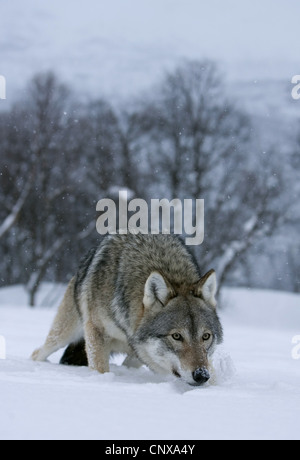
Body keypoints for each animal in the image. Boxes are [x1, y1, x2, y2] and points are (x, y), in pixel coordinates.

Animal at [32, 232, 223, 386]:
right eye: (176, 336)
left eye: (206, 336)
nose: (201, 375)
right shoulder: (96, 331)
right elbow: (100, 369)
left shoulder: (141, 350)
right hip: (63, 335)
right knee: (38, 352)